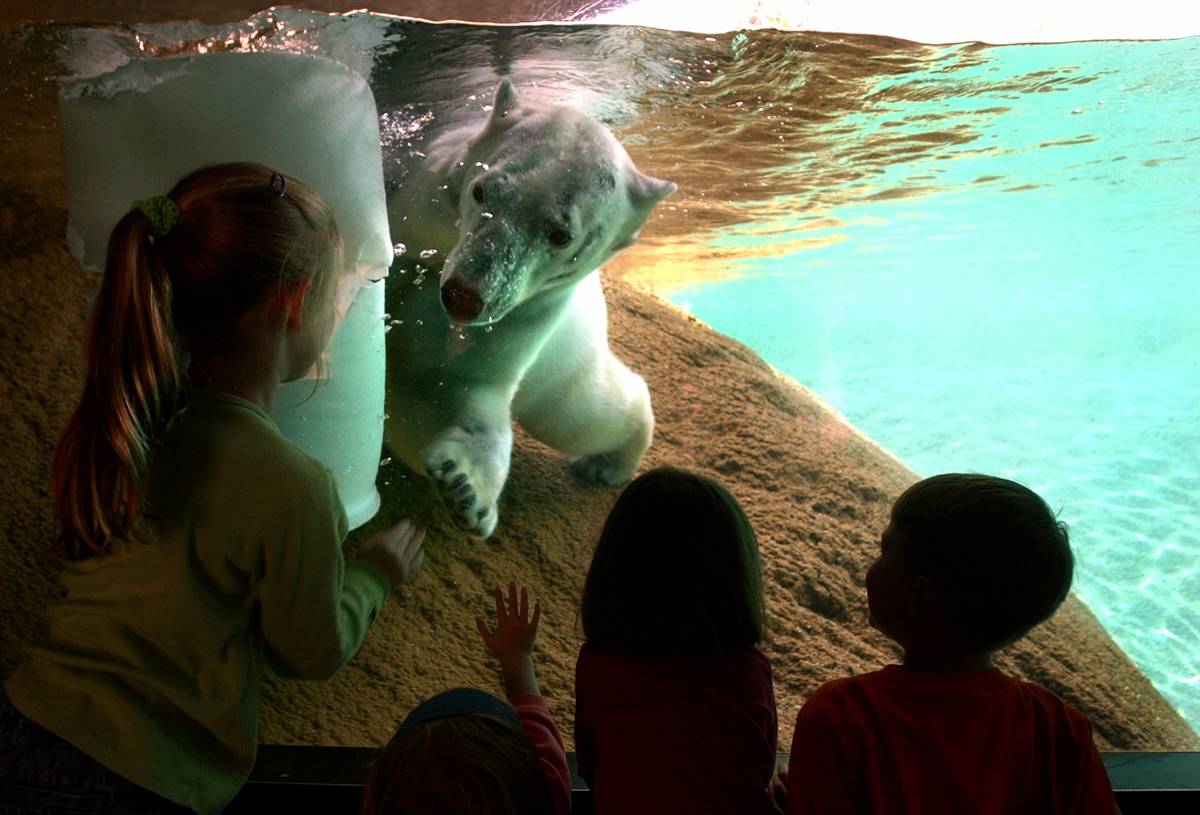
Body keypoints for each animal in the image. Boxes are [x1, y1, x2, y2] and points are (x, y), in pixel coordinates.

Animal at [382, 79, 675, 539]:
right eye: (481, 189)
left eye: (560, 235)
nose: (463, 295)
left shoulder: (530, 313)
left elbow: (448, 384)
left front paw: (468, 488)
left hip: (566, 353)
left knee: (584, 413)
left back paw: (607, 463)